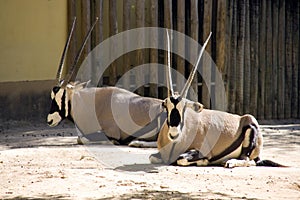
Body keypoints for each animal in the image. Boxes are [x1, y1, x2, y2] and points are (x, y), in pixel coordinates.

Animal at [47, 18, 165, 146]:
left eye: (62, 97)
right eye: (52, 96)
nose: (50, 120)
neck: (93, 105)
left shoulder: (111, 132)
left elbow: (81, 139)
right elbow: (79, 138)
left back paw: (136, 142)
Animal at [150, 31, 284, 168]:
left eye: (185, 107)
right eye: (165, 105)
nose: (174, 133)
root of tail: (245, 118)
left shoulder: (201, 151)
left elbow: (181, 159)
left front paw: (203, 161)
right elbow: (152, 157)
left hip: (250, 136)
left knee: (249, 161)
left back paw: (229, 162)